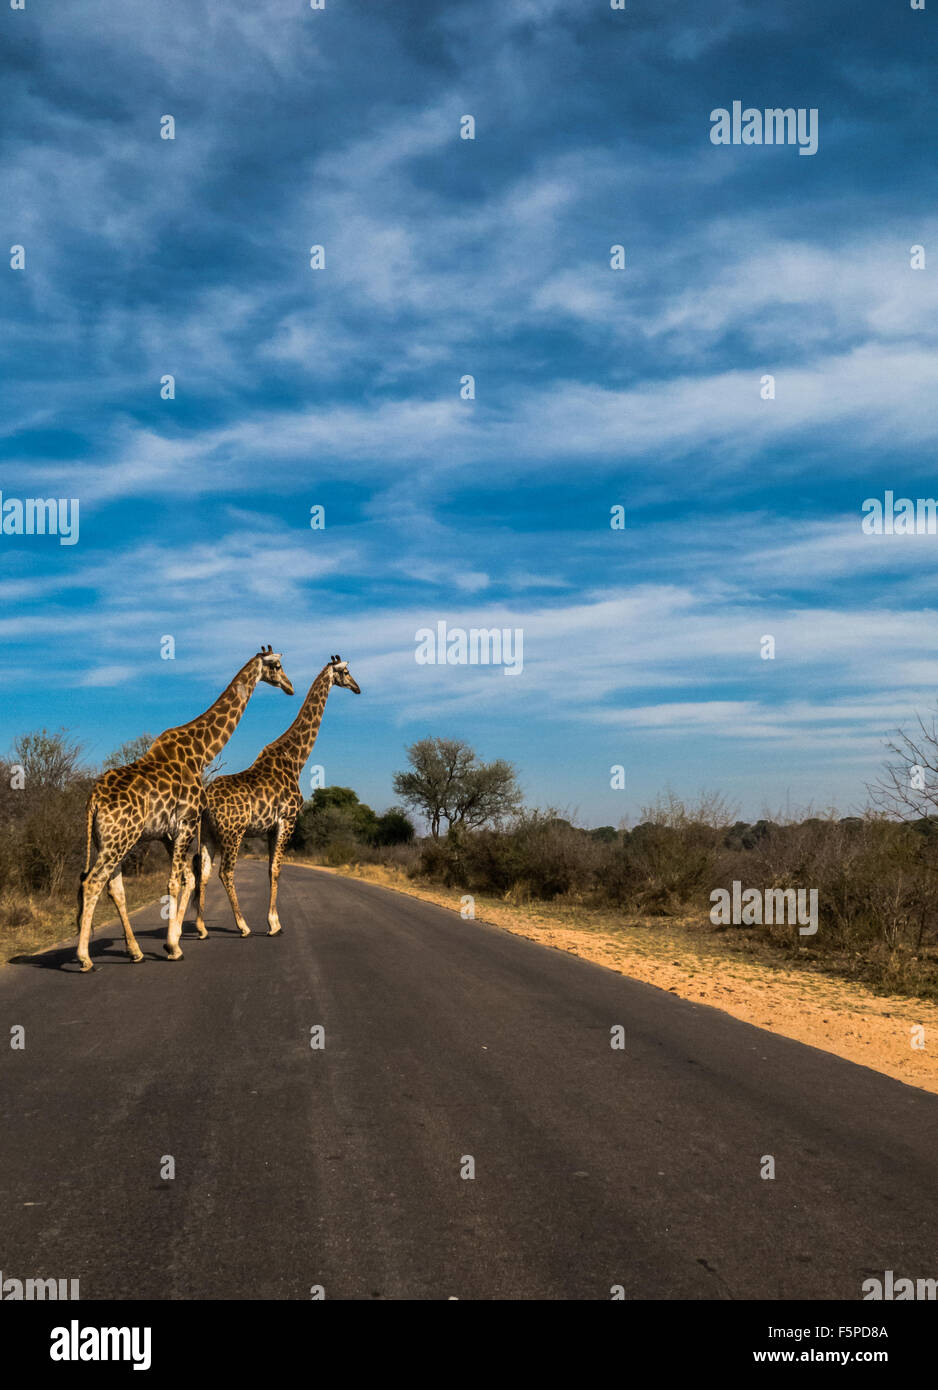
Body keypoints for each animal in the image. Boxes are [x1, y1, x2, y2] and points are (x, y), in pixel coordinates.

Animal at [75, 647, 295, 972]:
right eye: (277, 666)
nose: (290, 686)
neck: (201, 751)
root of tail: (93, 801)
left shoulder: (170, 831)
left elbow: (184, 878)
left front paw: (175, 939)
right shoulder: (186, 823)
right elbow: (174, 882)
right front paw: (173, 946)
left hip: (111, 841)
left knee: (113, 887)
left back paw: (135, 951)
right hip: (118, 840)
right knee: (92, 882)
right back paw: (85, 958)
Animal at [195, 655, 361, 939]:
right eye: (347, 672)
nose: (357, 688)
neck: (296, 759)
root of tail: (206, 802)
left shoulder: (272, 828)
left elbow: (271, 869)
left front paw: (273, 921)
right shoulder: (287, 820)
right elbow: (276, 869)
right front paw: (274, 924)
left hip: (208, 834)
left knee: (204, 872)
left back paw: (202, 928)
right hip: (233, 833)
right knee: (225, 872)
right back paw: (243, 926)